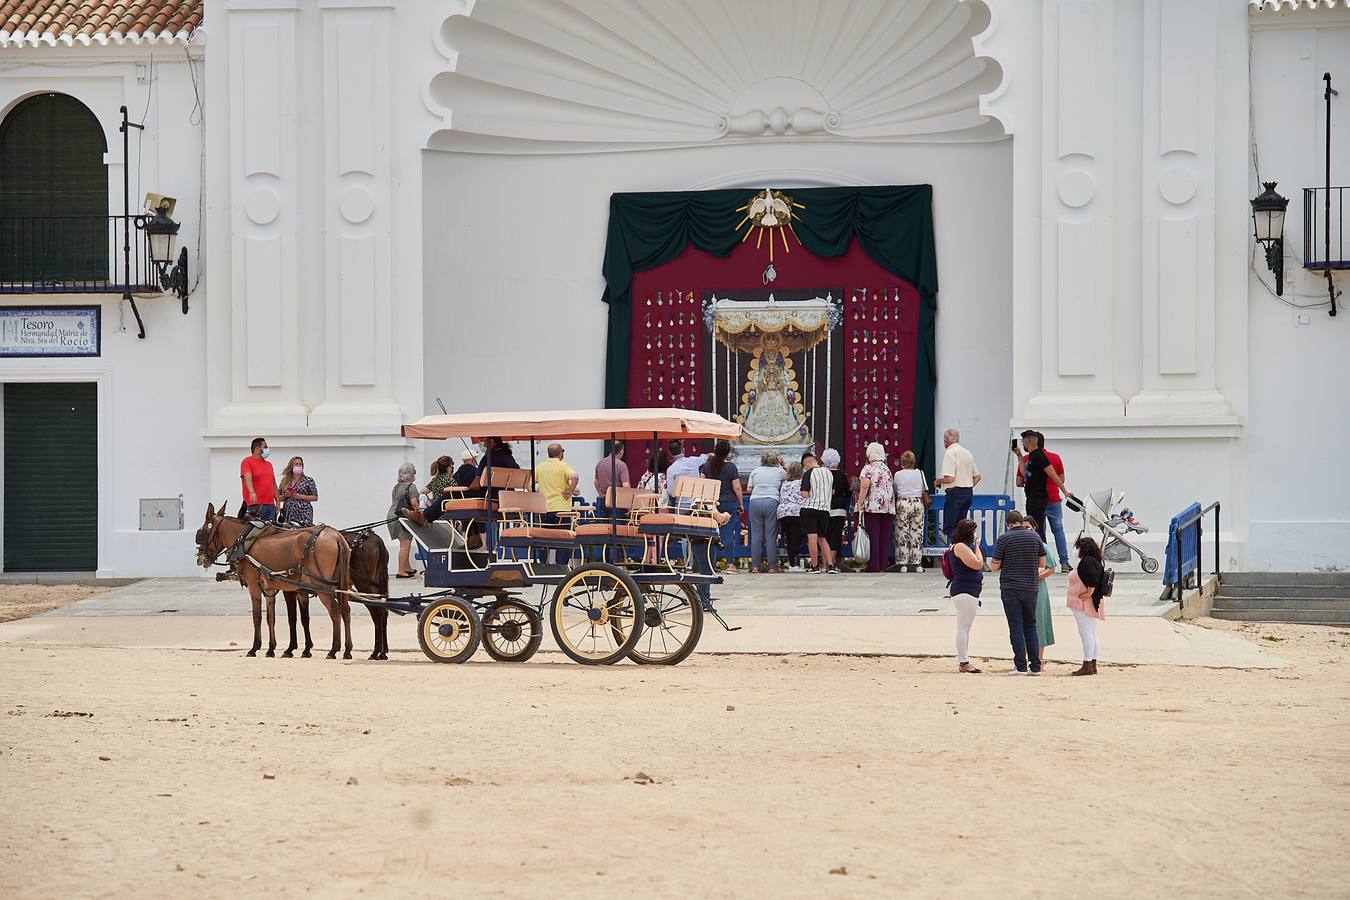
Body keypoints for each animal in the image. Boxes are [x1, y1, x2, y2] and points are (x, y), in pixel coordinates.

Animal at [197, 504, 353, 658]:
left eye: (202, 532)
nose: (200, 558)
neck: (244, 539)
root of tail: (337, 536)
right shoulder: (270, 589)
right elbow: (271, 617)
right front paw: (272, 649)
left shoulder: (255, 586)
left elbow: (258, 616)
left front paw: (255, 648)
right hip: (339, 583)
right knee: (345, 609)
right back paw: (347, 650)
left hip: (321, 586)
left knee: (335, 610)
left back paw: (334, 650)